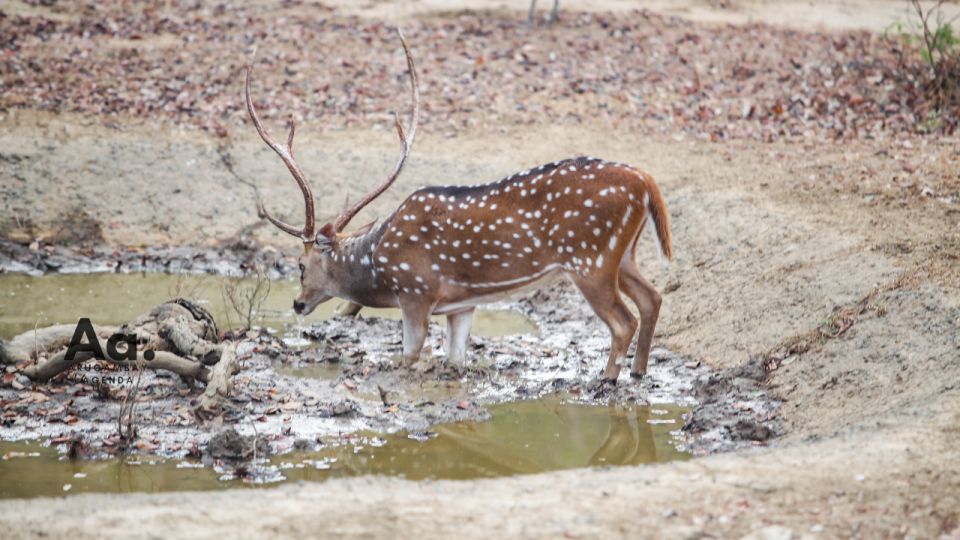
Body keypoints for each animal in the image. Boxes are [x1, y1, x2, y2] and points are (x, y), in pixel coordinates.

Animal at [244, 28, 672, 380]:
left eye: (300, 264)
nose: (298, 304)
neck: (379, 266)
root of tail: (645, 180)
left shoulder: (416, 292)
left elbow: (409, 355)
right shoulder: (461, 305)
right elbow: (456, 359)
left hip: (589, 258)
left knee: (623, 320)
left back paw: (607, 379)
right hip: (623, 254)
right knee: (652, 298)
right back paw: (638, 372)